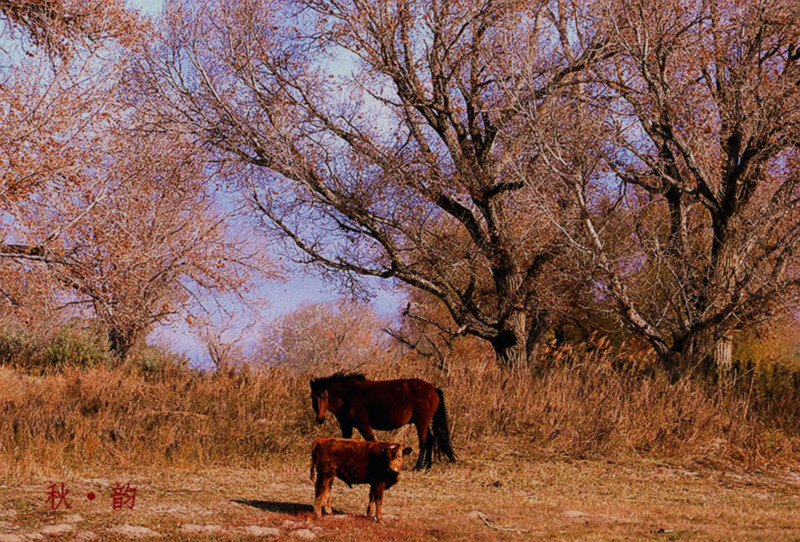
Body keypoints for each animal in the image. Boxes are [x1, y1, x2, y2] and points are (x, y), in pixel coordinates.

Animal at [308, 372, 454, 470]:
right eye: (313, 398)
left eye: (324, 395)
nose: (320, 419)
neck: (348, 395)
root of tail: (433, 388)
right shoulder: (346, 425)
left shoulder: (363, 425)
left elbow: (371, 441)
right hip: (424, 422)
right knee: (430, 439)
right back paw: (427, 466)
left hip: (421, 422)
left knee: (423, 442)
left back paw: (418, 466)